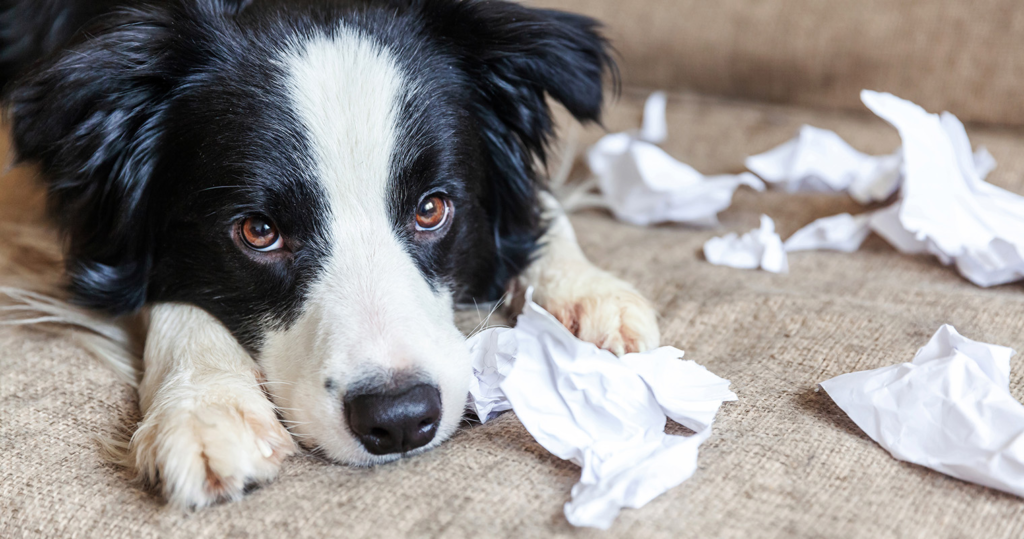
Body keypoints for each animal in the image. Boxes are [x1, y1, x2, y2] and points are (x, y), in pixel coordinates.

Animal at [0, 0, 659, 512]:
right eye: (258, 231)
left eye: (432, 209)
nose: (400, 418)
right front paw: (204, 409)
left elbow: (537, 204)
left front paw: (588, 294)